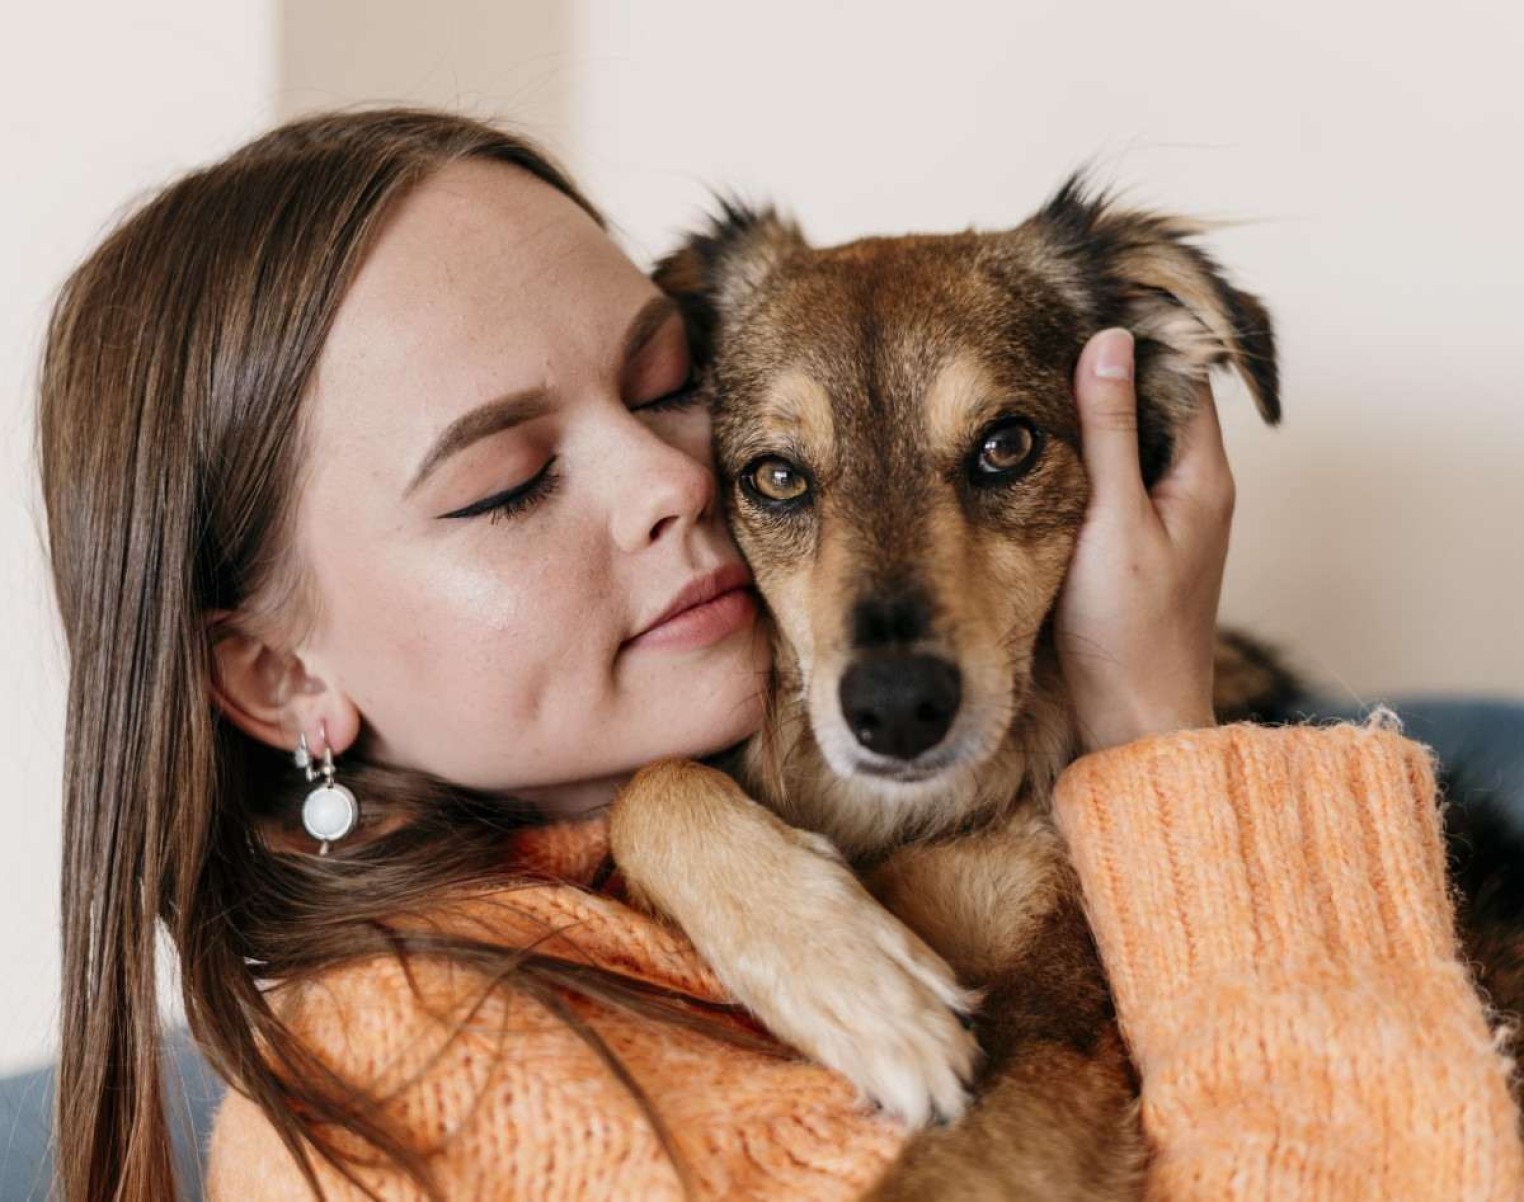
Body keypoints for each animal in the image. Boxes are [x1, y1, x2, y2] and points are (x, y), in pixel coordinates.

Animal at [606, 180, 1286, 1200]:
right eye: (776, 477)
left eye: (1006, 446)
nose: (895, 711)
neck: (903, 825)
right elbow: (648, 783)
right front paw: (857, 981)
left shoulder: (1061, 1032)